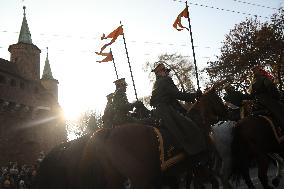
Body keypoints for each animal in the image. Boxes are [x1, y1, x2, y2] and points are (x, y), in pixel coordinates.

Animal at [34, 87, 227, 189]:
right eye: (218, 98)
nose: (227, 112)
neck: (197, 120)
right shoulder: (201, 163)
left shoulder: (183, 170)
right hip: (141, 178)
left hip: (116, 178)